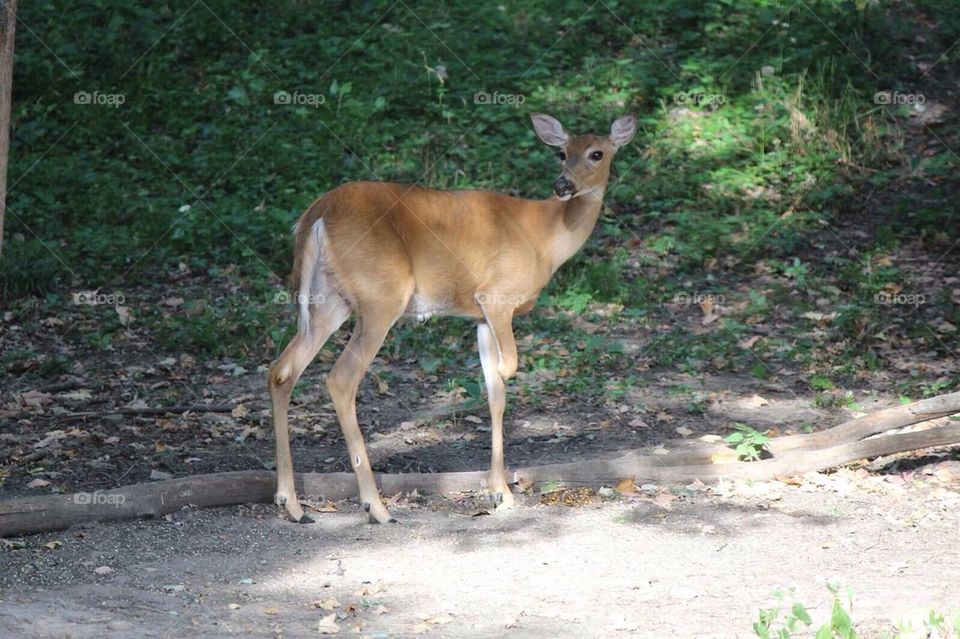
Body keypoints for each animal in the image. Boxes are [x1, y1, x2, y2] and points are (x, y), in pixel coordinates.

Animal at [268, 113, 637, 524]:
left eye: (595, 153)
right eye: (562, 152)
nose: (563, 185)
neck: (547, 237)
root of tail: (315, 216)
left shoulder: (480, 318)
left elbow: (495, 394)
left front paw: (501, 493)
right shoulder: (496, 296)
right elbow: (508, 370)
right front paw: (500, 490)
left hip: (329, 301)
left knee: (281, 370)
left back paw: (291, 503)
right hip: (381, 297)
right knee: (340, 379)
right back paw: (376, 507)